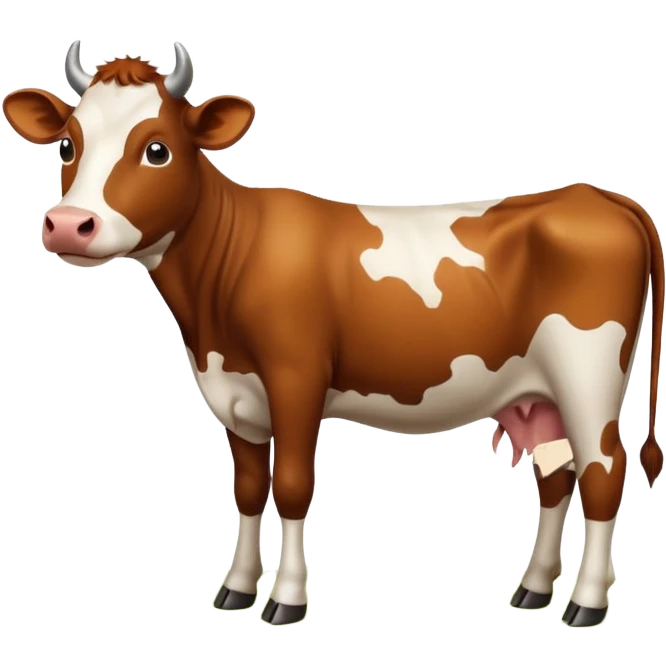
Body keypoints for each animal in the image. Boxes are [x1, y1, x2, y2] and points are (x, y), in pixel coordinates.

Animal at [3, 40, 664, 629]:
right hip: (539, 395)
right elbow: (249, 490)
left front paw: (287, 600)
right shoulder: (234, 394)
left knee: (603, 473)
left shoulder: (295, 380)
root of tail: (596, 196)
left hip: (588, 377)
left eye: (158, 149)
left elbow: (293, 486)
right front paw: (236, 590)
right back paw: (533, 589)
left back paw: (587, 604)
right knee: (557, 478)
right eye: (68, 143)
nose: (69, 225)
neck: (212, 311)